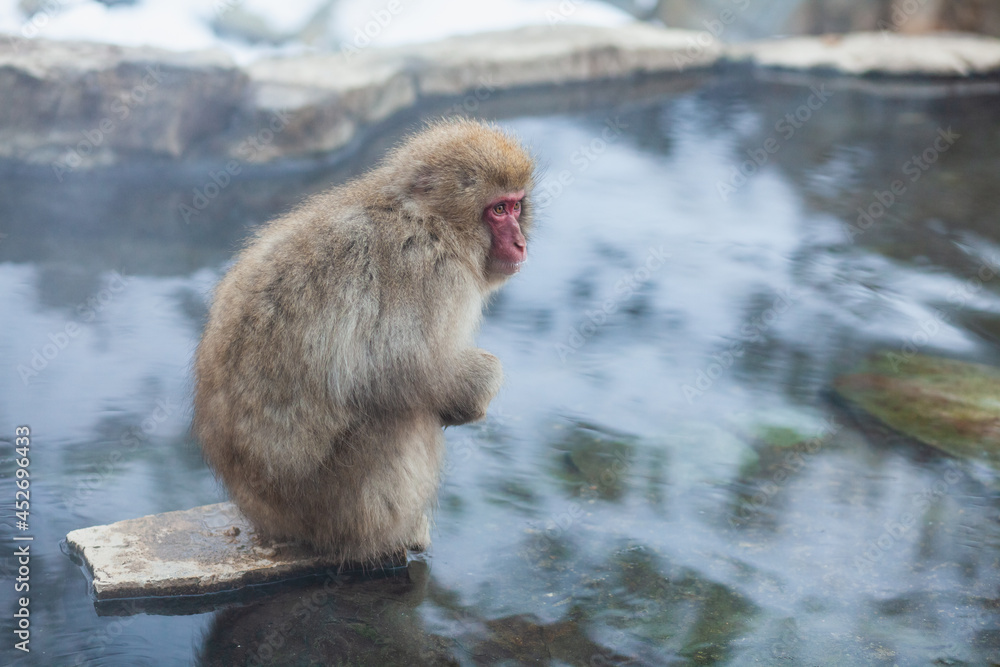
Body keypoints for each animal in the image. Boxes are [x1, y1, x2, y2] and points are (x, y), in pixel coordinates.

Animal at [193, 118, 535, 564]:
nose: (520, 243)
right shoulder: (432, 272)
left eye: (516, 206)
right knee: (404, 417)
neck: (431, 221)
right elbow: (403, 368)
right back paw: (396, 536)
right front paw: (477, 390)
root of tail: (262, 514)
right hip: (335, 504)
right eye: (497, 210)